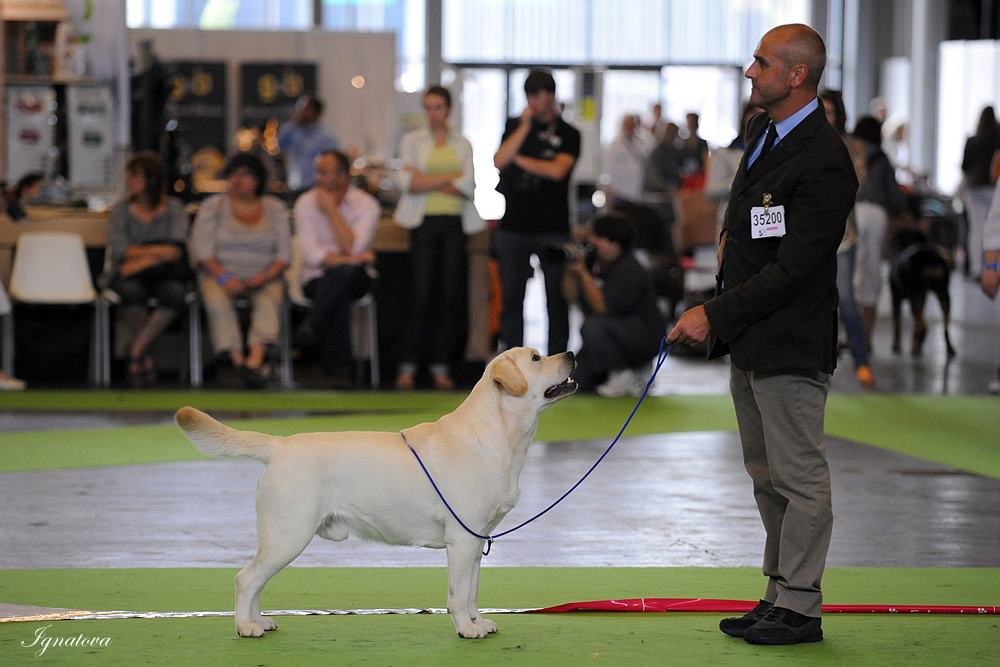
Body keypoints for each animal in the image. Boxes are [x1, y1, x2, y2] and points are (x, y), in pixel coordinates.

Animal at [176, 348, 576, 640]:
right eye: (536, 358)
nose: (571, 352)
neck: (498, 436)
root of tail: (279, 444)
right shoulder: (461, 540)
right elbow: (458, 594)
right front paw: (466, 628)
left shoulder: (477, 539)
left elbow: (473, 590)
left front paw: (479, 622)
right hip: (288, 534)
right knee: (246, 579)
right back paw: (246, 627)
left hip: (282, 538)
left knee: (257, 581)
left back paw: (261, 621)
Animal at [892, 227, 952, 358]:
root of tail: (930, 257)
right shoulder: (922, 297)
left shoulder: (895, 297)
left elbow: (896, 323)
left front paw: (896, 346)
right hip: (943, 295)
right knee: (944, 327)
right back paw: (949, 348)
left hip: (915, 297)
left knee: (922, 324)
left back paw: (914, 347)